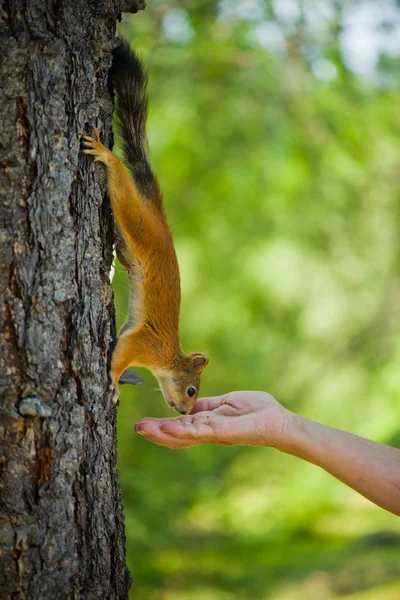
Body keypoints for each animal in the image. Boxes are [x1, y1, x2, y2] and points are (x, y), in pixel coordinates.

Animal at [83, 39, 211, 414]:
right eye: (192, 390)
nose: (184, 412)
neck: (166, 359)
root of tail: (158, 214)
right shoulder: (143, 344)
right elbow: (119, 358)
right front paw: (113, 384)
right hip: (137, 220)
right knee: (121, 188)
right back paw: (106, 156)